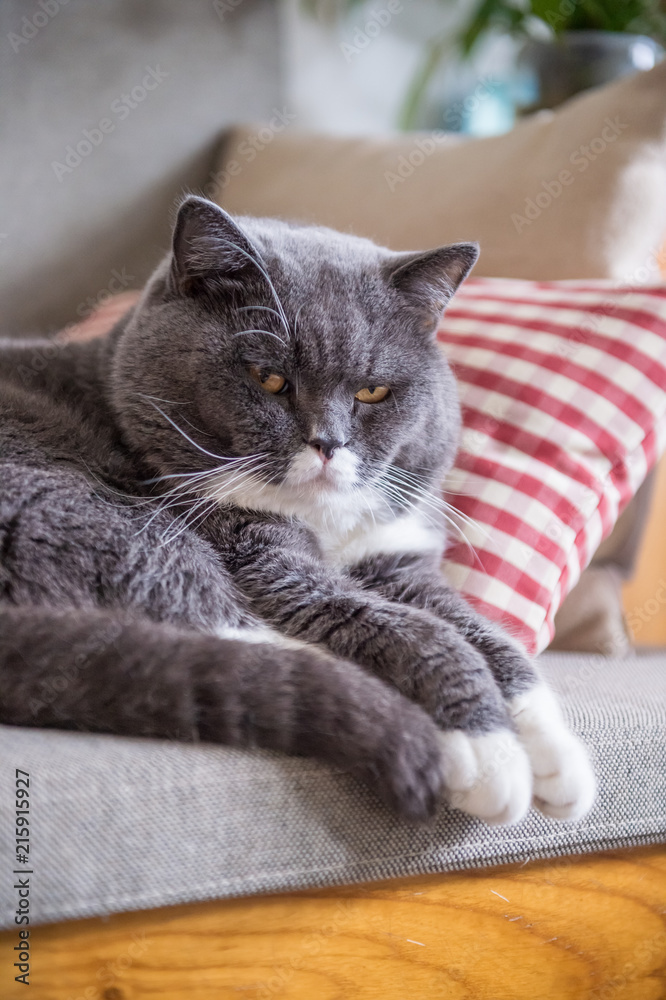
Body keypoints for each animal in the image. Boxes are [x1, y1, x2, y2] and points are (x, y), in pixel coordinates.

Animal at [0, 199, 592, 824]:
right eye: (269, 378)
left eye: (372, 392)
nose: (328, 443)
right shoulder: (258, 558)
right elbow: (404, 626)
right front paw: (490, 752)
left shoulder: (396, 557)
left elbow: (478, 627)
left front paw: (555, 757)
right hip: (99, 520)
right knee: (227, 637)